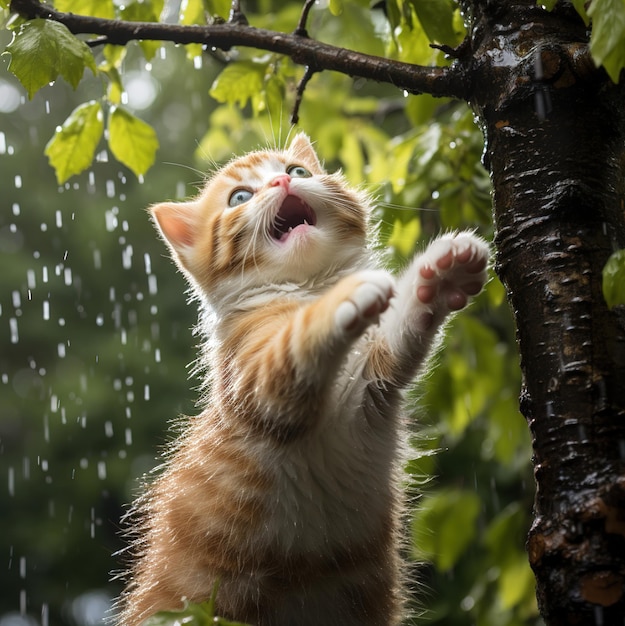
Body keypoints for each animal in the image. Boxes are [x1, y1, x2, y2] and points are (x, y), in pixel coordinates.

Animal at [114, 133, 490, 624]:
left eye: (297, 172)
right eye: (239, 198)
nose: (281, 182)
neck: (308, 284)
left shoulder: (370, 386)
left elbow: (399, 335)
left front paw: (442, 276)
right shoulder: (257, 384)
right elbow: (298, 336)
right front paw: (344, 298)